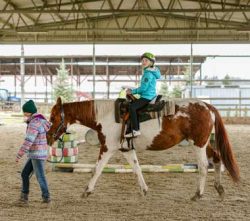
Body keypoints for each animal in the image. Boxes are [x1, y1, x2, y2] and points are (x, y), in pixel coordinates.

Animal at [47, 96, 240, 200]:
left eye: (53, 117)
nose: (48, 137)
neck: (106, 115)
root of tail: (208, 106)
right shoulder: (126, 149)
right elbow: (137, 168)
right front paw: (144, 190)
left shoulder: (107, 148)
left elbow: (97, 169)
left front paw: (86, 191)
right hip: (204, 143)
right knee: (217, 159)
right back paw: (219, 189)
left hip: (198, 144)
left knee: (203, 167)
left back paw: (198, 194)